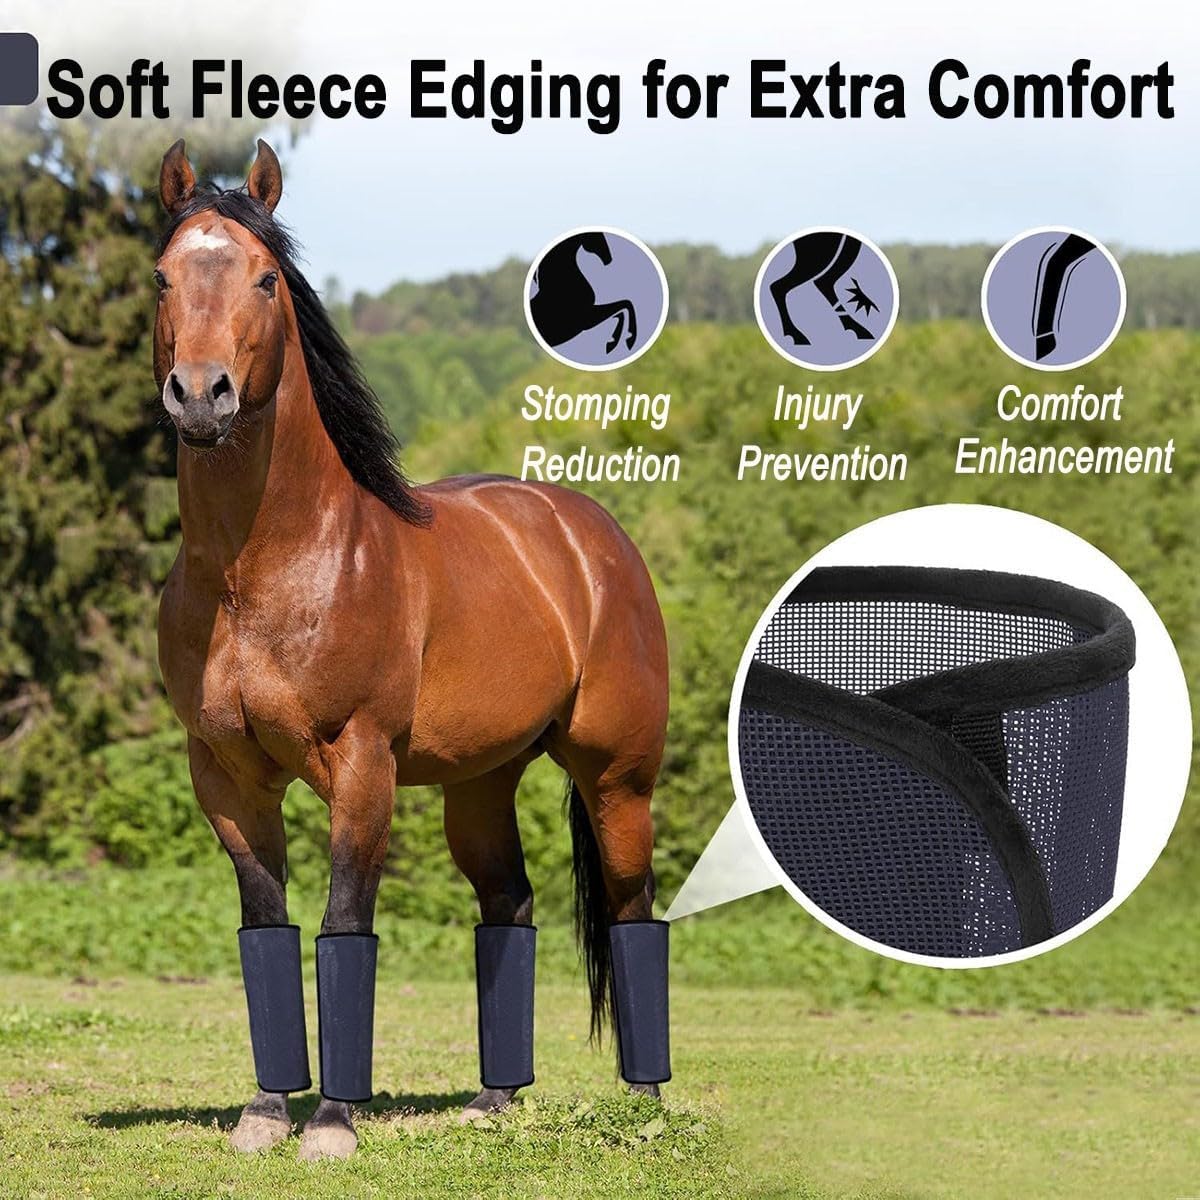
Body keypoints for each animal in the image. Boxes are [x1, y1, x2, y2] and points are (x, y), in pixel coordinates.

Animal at [153, 140, 670, 1161]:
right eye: (160, 277)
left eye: (267, 278)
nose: (201, 396)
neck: (261, 571)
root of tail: (592, 535)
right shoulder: (226, 776)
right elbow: (265, 924)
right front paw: (265, 1114)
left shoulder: (362, 765)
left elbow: (345, 922)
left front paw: (332, 1126)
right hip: (480, 784)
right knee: (509, 904)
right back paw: (495, 1101)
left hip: (617, 780)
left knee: (634, 910)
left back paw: (644, 1107)